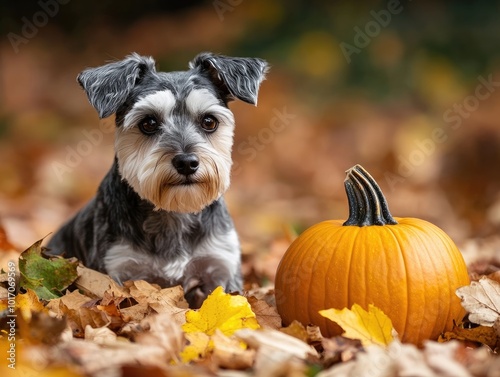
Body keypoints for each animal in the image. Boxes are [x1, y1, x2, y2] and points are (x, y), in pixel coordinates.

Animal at [49, 52, 270, 306]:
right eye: (148, 123)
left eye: (209, 121)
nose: (186, 162)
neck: (173, 212)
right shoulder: (116, 268)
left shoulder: (220, 264)